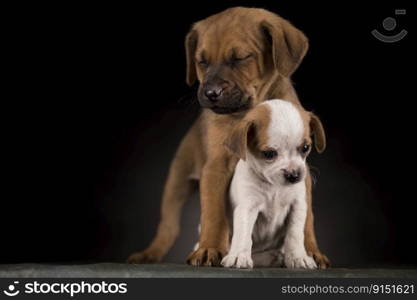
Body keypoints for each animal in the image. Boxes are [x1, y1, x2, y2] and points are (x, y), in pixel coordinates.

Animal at [221, 99, 324, 270]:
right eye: (269, 154)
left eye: (305, 148)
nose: (294, 175)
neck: (275, 187)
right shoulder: (247, 207)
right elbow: (243, 234)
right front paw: (239, 256)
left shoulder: (297, 206)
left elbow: (295, 234)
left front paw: (298, 257)